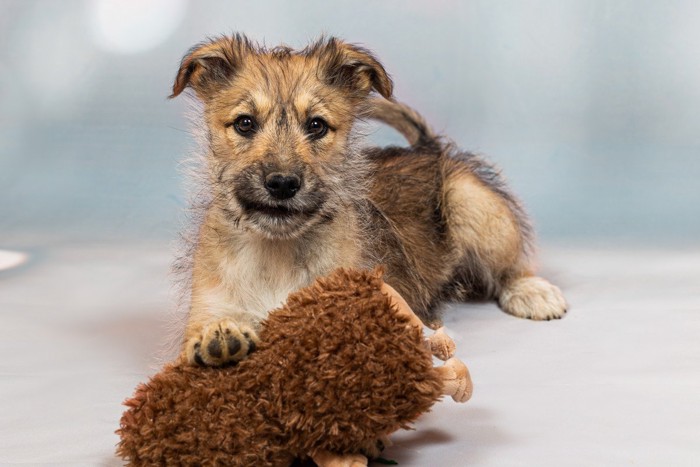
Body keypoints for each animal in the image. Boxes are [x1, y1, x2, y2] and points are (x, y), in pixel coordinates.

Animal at [171, 34, 568, 368]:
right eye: (244, 123)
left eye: (316, 125)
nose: (282, 184)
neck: (277, 252)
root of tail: (427, 148)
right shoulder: (209, 301)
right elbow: (204, 330)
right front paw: (220, 335)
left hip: (476, 207)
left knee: (511, 265)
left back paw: (533, 293)